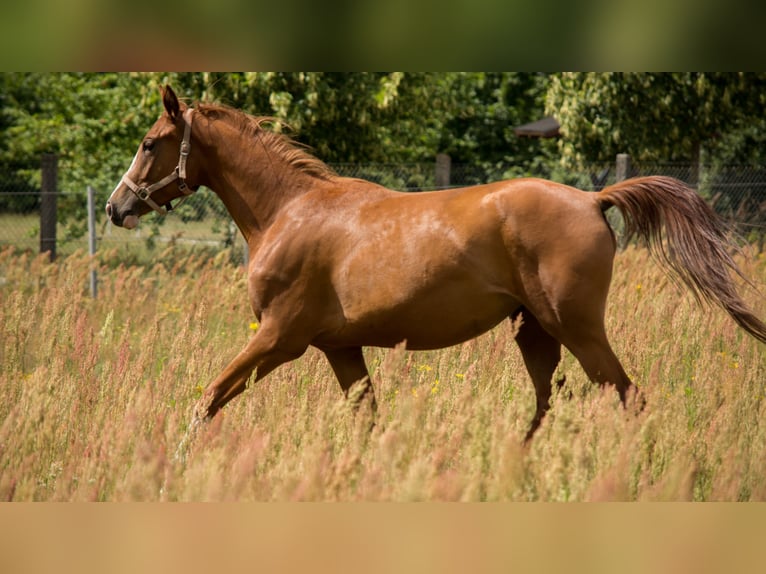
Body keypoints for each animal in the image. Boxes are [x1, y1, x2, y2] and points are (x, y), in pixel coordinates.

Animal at [106, 85, 766, 444]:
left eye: (148, 143)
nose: (117, 206)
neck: (289, 212)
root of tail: (591, 198)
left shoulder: (279, 338)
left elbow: (208, 399)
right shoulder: (340, 348)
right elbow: (367, 419)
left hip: (577, 328)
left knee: (628, 397)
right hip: (536, 333)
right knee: (548, 407)